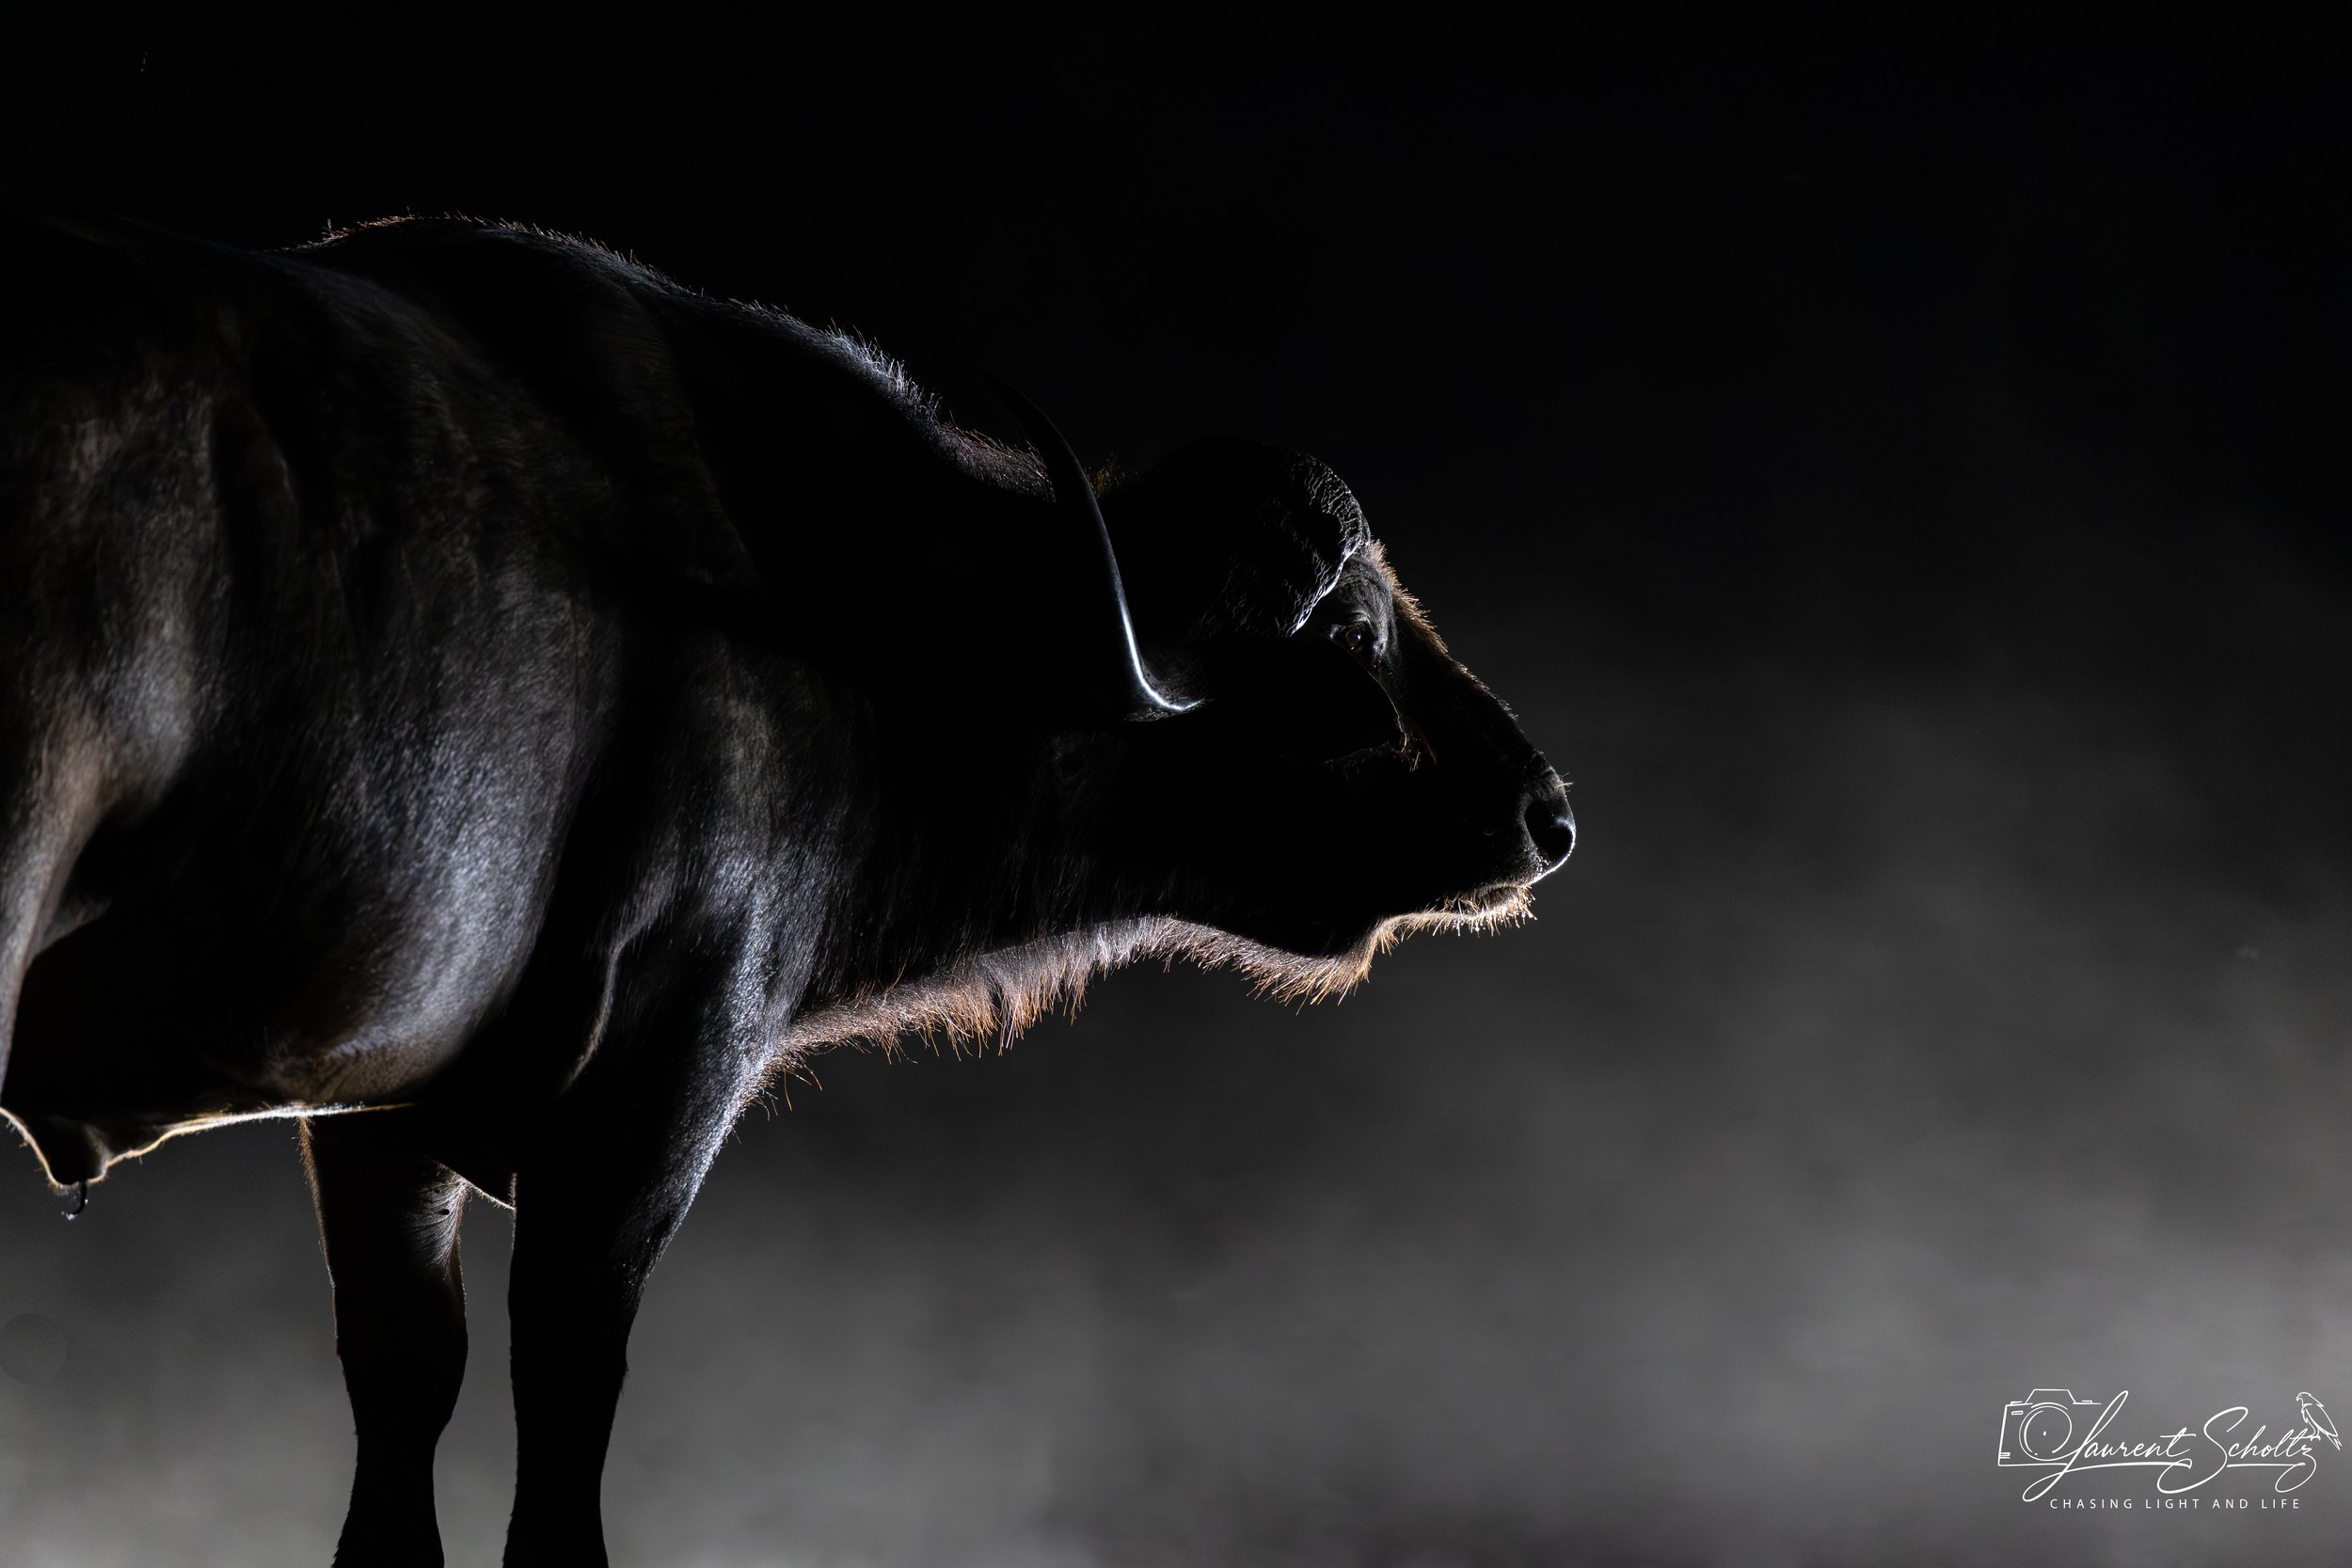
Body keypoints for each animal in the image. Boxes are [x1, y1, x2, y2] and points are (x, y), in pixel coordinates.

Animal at [0, 211, 1573, 1565]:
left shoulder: (381, 1118)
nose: (1545, 814)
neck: (846, 613)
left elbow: (406, 1402)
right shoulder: (655, 1084)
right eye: (1351, 630)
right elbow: (564, 1412)